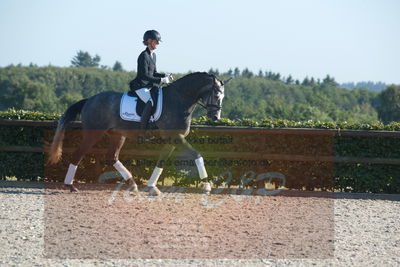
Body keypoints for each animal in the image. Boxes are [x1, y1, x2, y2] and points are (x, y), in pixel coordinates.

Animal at [47, 72, 228, 196]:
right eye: (216, 94)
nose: (215, 117)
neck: (179, 100)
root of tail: (90, 100)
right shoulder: (177, 138)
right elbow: (197, 155)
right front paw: (207, 187)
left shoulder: (172, 140)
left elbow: (161, 162)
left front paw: (152, 187)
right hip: (93, 134)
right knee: (78, 154)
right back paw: (70, 185)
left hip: (117, 135)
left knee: (112, 156)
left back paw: (132, 184)